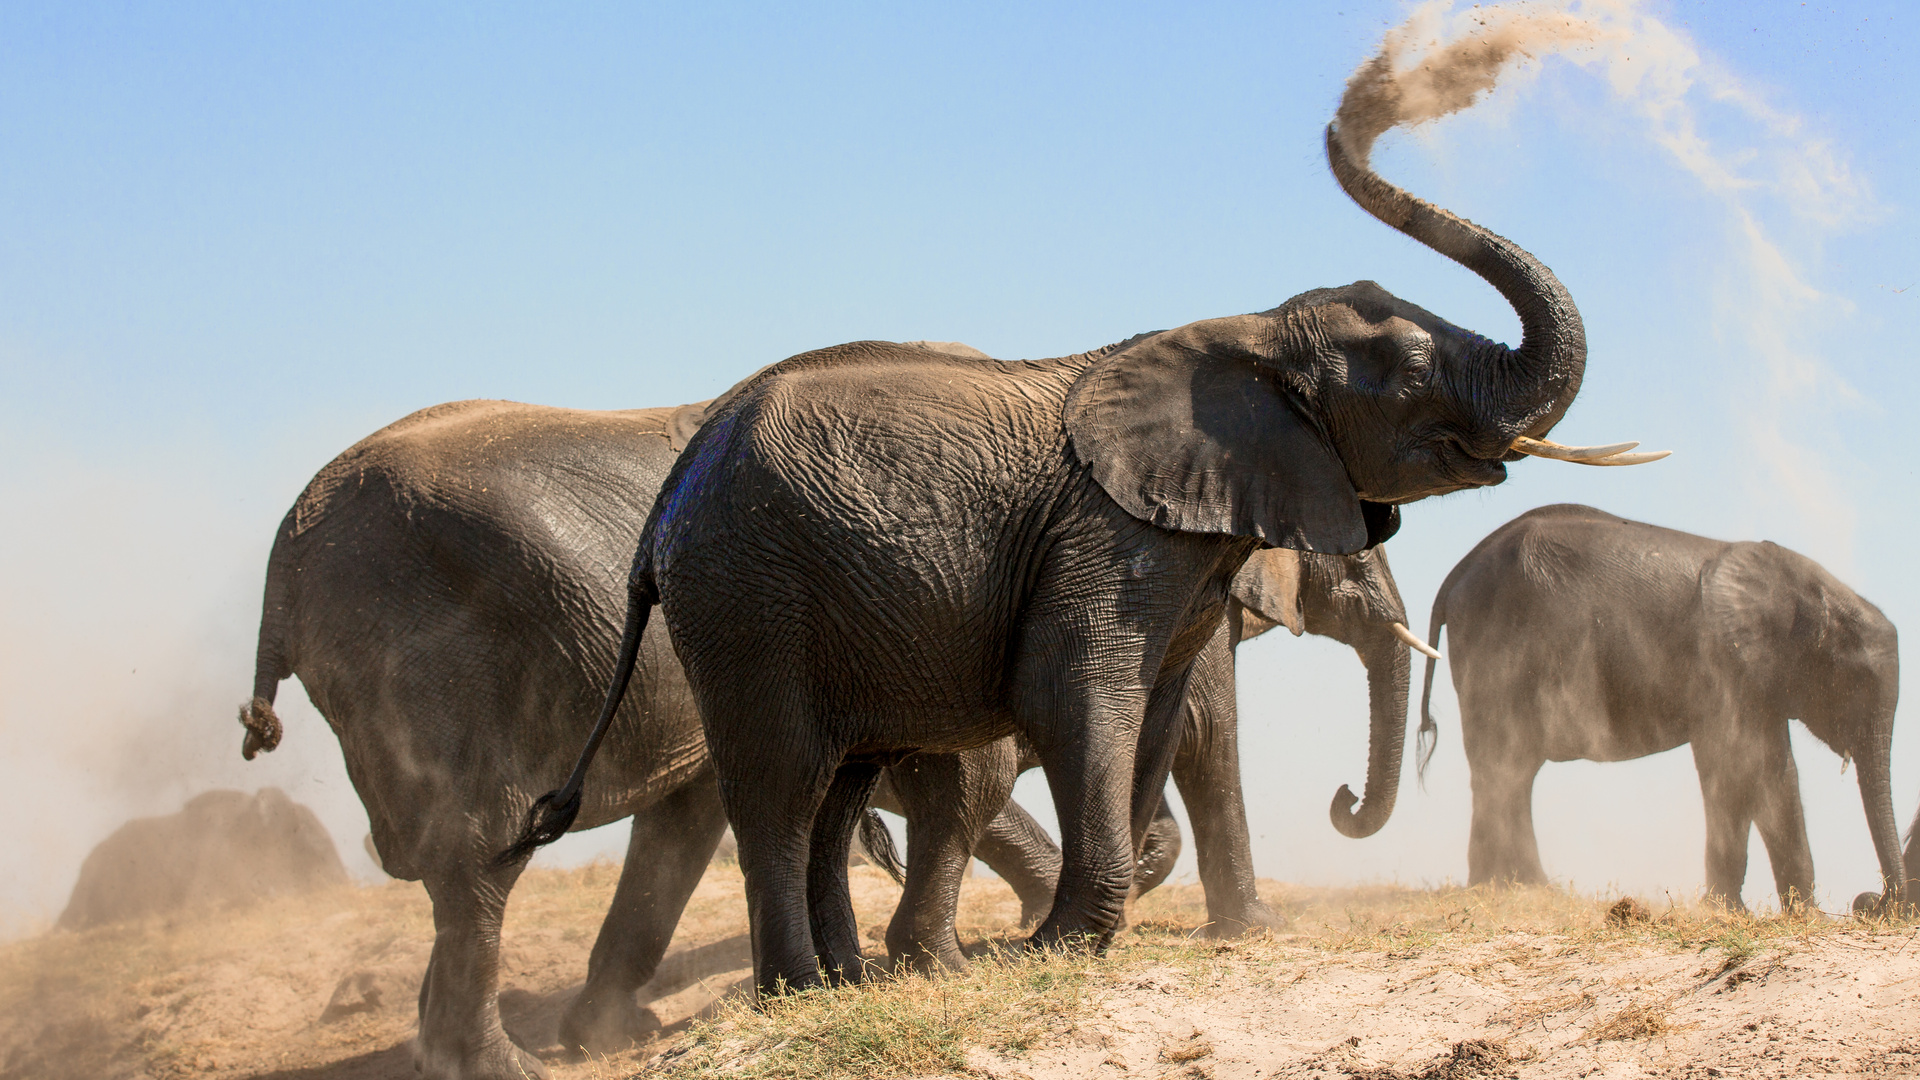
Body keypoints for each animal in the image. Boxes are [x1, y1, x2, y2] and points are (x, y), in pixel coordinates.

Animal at [879, 538, 1436, 968]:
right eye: (1359, 557)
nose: (1346, 795)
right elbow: (1205, 734)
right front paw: (1261, 927)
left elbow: (1158, 744)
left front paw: (1132, 895)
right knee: (973, 785)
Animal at [1420, 503, 1896, 907]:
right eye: (1856, 683)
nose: (1869, 902)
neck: (1804, 590)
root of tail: (1454, 577)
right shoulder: (1721, 663)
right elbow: (1732, 766)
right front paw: (1726, 911)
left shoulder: (1757, 678)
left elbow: (1774, 773)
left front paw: (1805, 916)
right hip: (1492, 650)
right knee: (1502, 766)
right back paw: (1511, 889)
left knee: (1512, 772)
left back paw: (1521, 887)